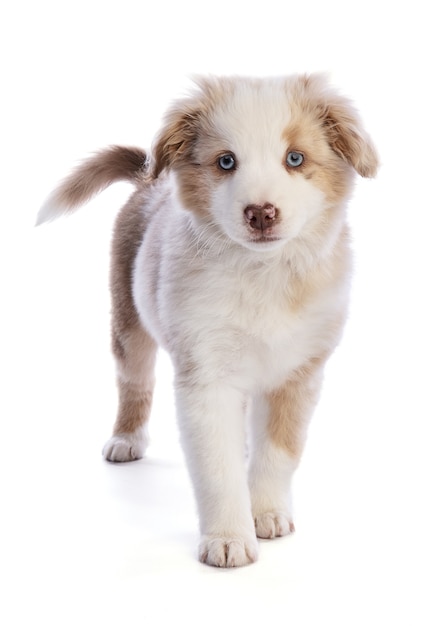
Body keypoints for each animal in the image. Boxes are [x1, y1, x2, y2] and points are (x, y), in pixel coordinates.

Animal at [39, 73, 378, 564]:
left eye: (295, 158)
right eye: (226, 162)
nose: (261, 213)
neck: (262, 274)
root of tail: (149, 181)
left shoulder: (299, 374)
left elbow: (279, 452)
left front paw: (267, 513)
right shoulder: (205, 376)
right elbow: (216, 467)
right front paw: (229, 540)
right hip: (129, 319)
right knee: (134, 382)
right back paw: (125, 440)